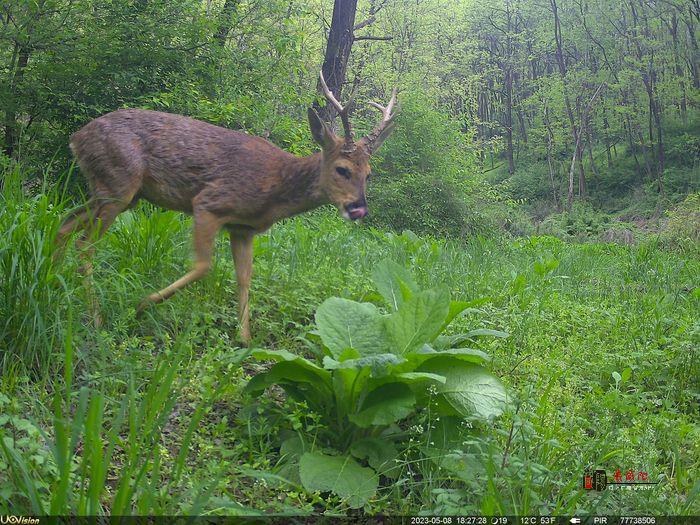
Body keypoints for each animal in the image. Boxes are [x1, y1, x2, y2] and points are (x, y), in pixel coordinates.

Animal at [57, 72, 396, 344]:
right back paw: (96, 318)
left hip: (118, 192)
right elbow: (204, 265)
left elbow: (244, 277)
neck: (274, 189)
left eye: (368, 174)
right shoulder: (209, 203)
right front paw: (142, 304)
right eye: (342, 169)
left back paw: (55, 277)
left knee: (65, 222)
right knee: (85, 244)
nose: (358, 208)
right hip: (118, 184)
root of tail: (76, 137)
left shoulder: (243, 228)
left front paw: (244, 339)